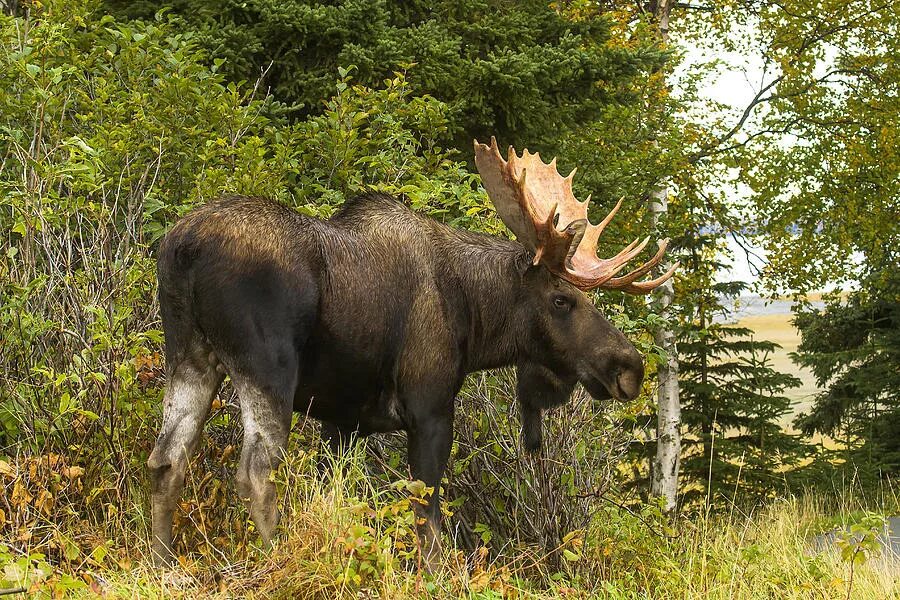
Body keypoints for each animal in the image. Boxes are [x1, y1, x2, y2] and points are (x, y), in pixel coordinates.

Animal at [146, 137, 676, 568]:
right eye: (562, 299)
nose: (629, 367)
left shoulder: (342, 420)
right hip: (268, 369)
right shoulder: (430, 407)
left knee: (166, 459)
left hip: (190, 356)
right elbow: (429, 516)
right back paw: (274, 560)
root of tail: (183, 247)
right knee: (255, 473)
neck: (474, 318)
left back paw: (165, 565)